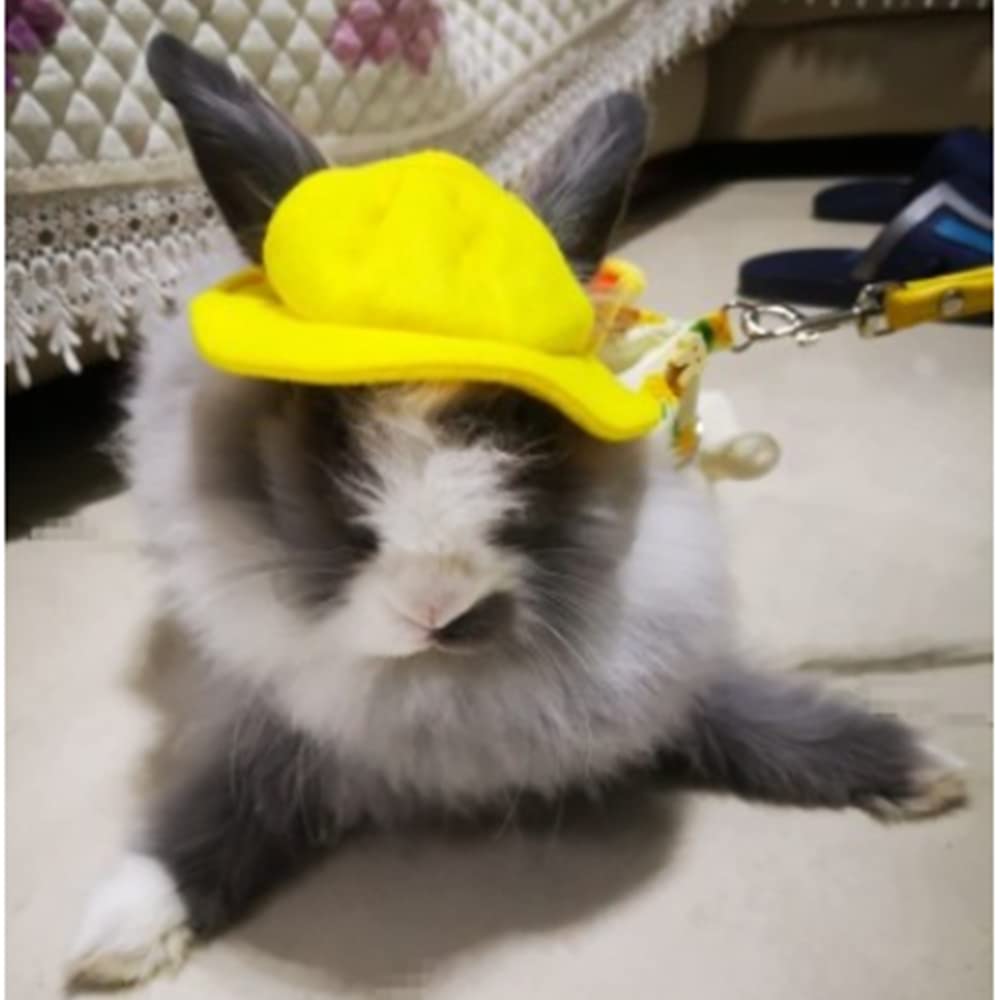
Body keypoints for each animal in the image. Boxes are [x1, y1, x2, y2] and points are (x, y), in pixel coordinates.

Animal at [67, 34, 966, 990]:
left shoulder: (673, 680)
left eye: (531, 431)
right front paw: (123, 929)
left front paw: (917, 768)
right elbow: (218, 807)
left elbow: (760, 717)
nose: (436, 605)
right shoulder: (277, 727)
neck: (455, 691)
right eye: (329, 429)